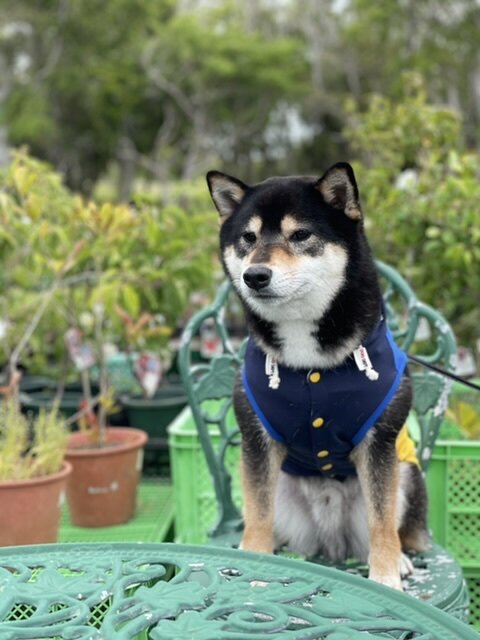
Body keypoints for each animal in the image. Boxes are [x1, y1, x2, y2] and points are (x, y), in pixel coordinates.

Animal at [206, 164, 428, 592]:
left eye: (300, 235)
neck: (308, 362)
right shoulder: (258, 441)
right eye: (248, 238)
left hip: (406, 473)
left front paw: (386, 577)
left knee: (398, 529)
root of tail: (331, 540)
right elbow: (257, 513)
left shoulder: (379, 444)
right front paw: (255, 565)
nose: (254, 275)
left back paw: (402, 560)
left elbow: (381, 523)